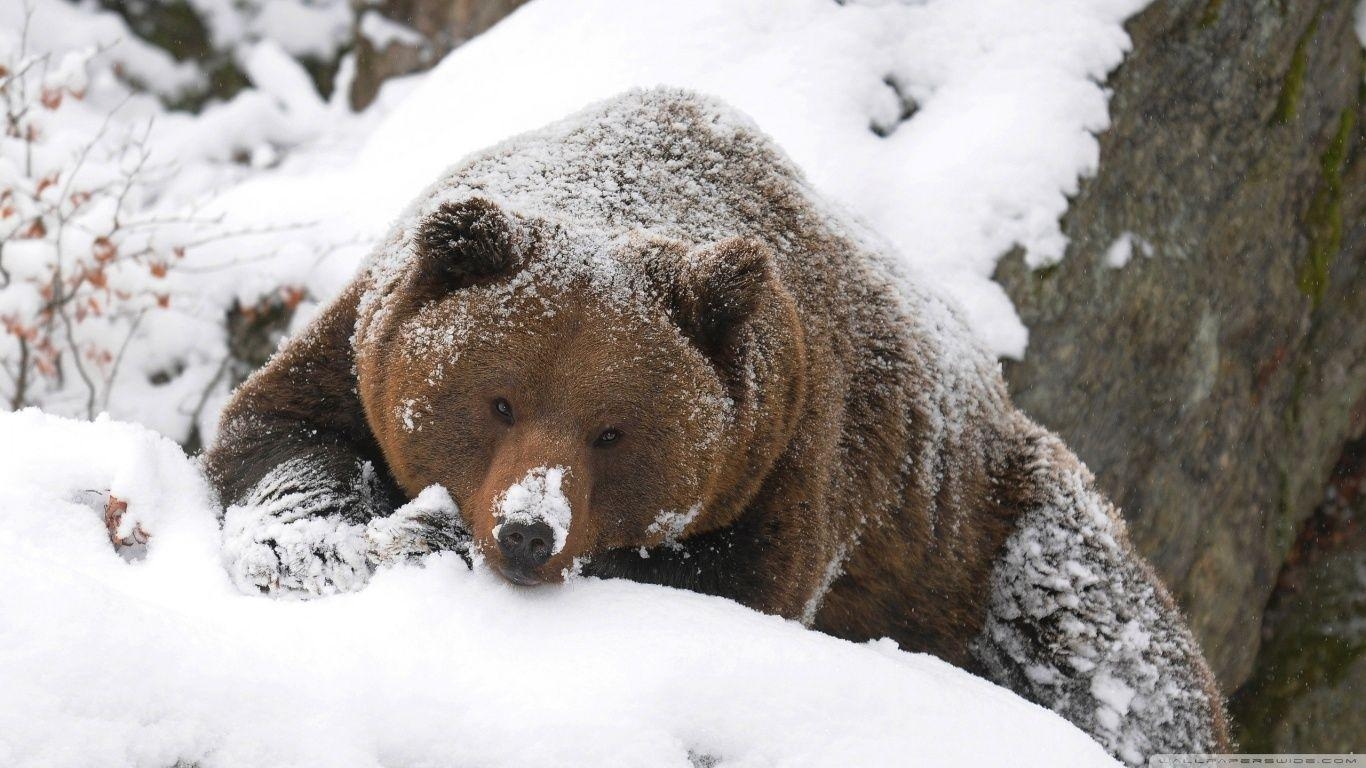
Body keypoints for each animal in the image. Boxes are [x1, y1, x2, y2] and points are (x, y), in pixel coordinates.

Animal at [207, 88, 1234, 759]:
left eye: (613, 430)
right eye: (497, 400)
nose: (529, 531)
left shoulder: (792, 453)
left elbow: (725, 583)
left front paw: (427, 533)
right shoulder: (361, 342)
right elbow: (279, 432)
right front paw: (307, 544)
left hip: (989, 530)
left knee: (1109, 648)